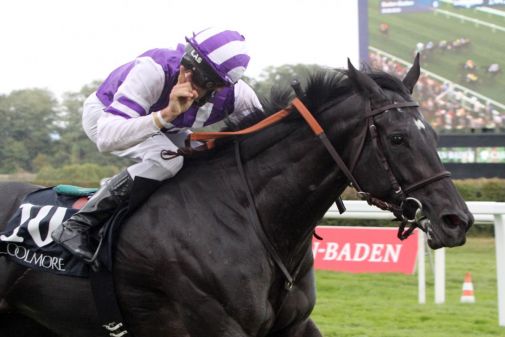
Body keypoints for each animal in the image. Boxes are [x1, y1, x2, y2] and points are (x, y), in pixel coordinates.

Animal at [0, 59, 472, 334]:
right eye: (397, 138)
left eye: (434, 135)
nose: (456, 220)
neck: (253, 220)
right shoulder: (216, 326)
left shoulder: (294, 327)